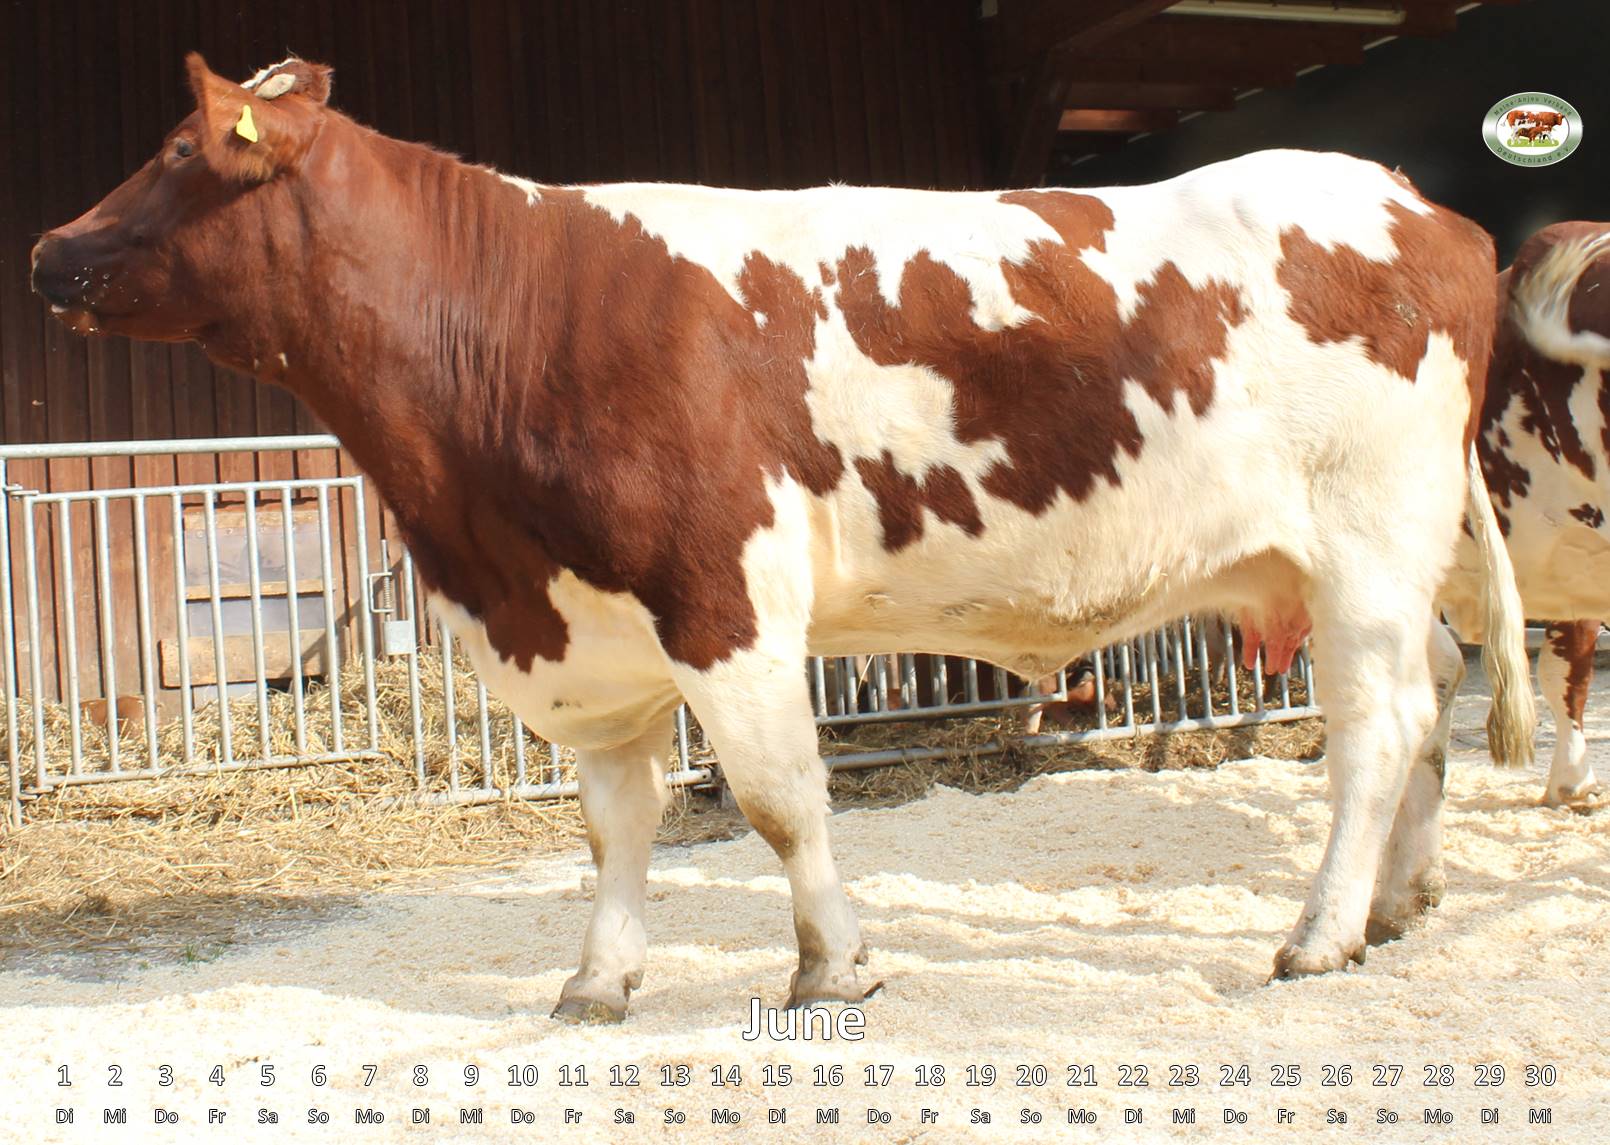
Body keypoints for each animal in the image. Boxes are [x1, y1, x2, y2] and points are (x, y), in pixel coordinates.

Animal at [30, 55, 1532, 1020]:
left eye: (177, 154)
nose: (47, 250)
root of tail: (1416, 200)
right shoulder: (592, 625)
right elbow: (617, 819)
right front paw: (599, 978)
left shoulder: (723, 597)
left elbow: (775, 799)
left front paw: (830, 964)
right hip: (1380, 555)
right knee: (1433, 686)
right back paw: (1397, 902)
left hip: (1365, 542)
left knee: (1382, 722)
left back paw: (1318, 933)